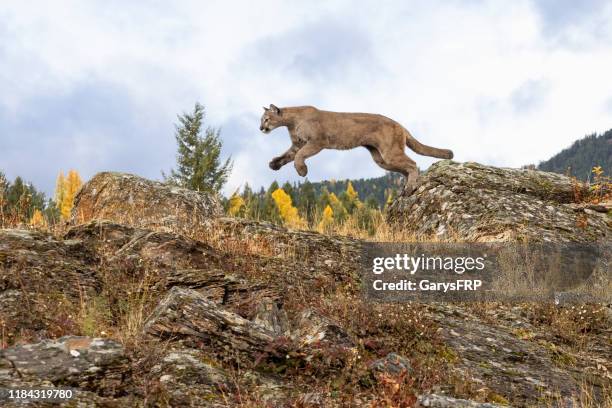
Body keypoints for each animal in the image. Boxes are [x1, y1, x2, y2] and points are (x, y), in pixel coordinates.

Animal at [260, 103, 454, 190]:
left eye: (266, 119)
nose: (261, 128)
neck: (291, 122)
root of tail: (399, 124)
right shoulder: (296, 144)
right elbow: (288, 155)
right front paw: (274, 164)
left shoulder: (317, 142)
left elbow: (300, 155)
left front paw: (302, 171)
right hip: (381, 159)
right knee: (405, 168)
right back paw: (405, 187)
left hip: (390, 153)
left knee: (412, 164)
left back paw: (410, 187)